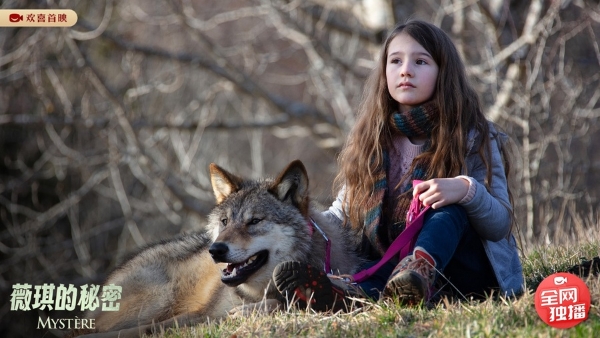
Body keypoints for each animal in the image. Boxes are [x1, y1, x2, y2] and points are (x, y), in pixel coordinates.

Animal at [70, 160, 360, 336]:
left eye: (254, 221)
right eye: (225, 222)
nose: (216, 250)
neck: (256, 292)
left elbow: (280, 303)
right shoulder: (199, 314)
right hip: (158, 299)